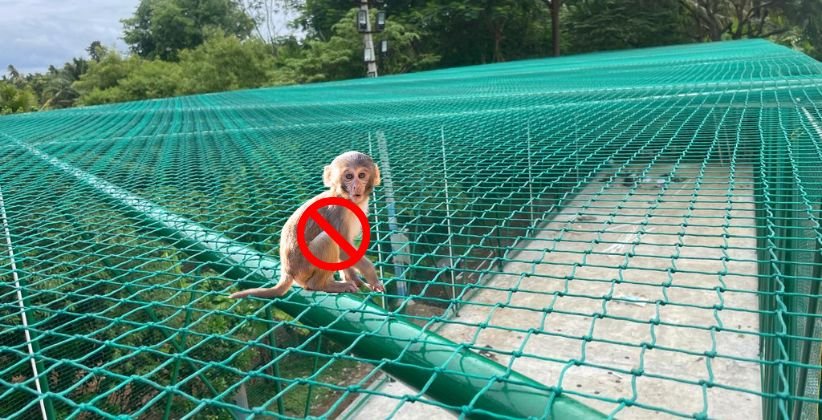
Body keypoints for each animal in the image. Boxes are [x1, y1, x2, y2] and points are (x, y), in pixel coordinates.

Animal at [229, 151, 385, 299]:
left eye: (361, 175)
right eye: (349, 176)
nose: (356, 186)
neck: (343, 197)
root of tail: (288, 271)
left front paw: (355, 279)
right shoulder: (337, 212)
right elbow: (343, 248)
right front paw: (372, 277)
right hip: (304, 268)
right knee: (327, 239)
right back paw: (321, 285)